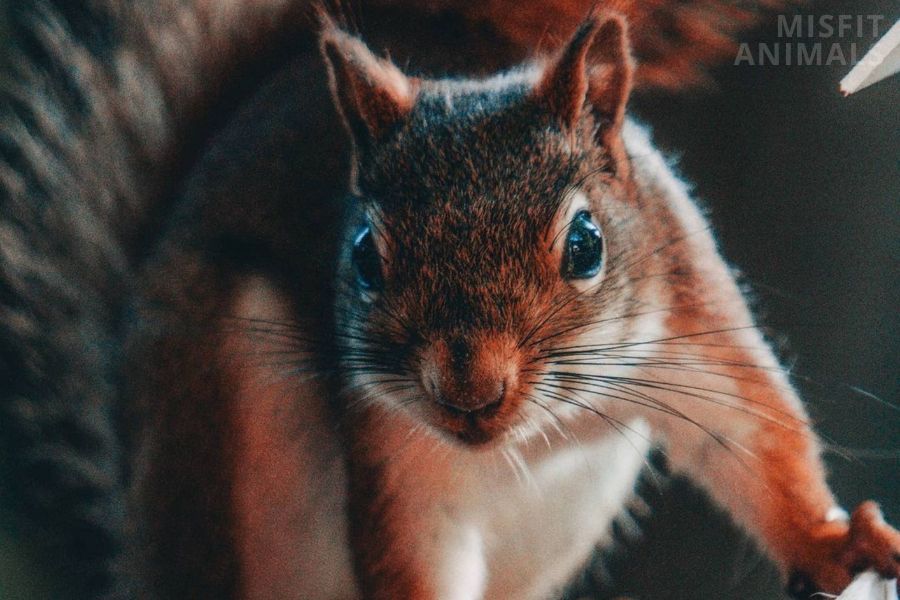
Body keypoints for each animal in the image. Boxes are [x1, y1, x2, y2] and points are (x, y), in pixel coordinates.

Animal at [0, 1, 897, 599]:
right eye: (363, 256)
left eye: (586, 244)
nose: (470, 392)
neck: (527, 436)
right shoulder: (399, 460)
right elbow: (412, 558)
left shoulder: (688, 321)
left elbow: (751, 439)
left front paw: (838, 546)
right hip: (215, 444)